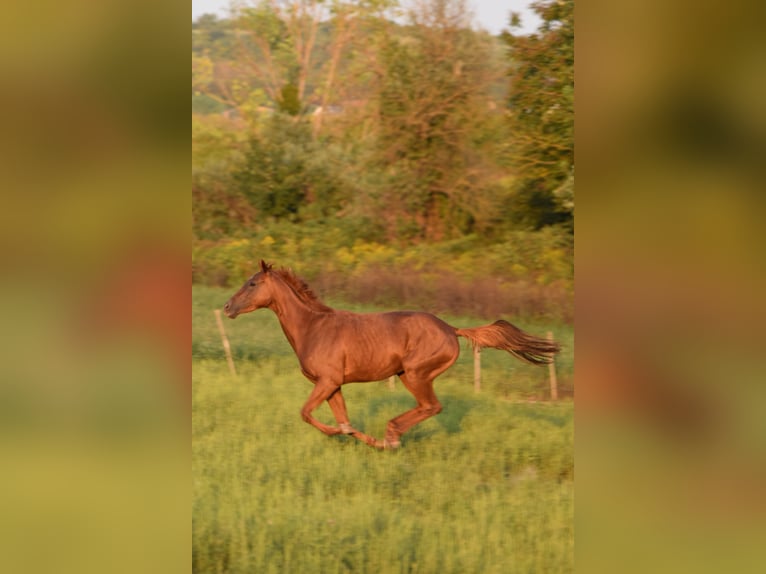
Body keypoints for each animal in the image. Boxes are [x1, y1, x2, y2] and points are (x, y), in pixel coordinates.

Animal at [225, 260, 560, 450]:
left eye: (252, 283)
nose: (228, 307)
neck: (313, 327)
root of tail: (452, 329)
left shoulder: (326, 381)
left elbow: (307, 414)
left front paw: (343, 434)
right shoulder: (334, 385)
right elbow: (344, 420)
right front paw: (359, 437)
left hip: (415, 374)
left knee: (432, 406)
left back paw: (392, 435)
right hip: (407, 375)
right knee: (428, 407)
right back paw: (387, 438)